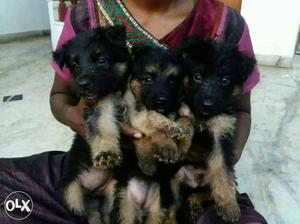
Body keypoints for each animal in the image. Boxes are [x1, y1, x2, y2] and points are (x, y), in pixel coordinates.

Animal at [51, 25, 131, 216]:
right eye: (74, 65)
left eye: (101, 60)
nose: (83, 85)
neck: (114, 89)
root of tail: (94, 191)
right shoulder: (99, 106)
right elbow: (103, 126)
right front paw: (106, 153)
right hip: (71, 192)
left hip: (111, 194)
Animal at [178, 37, 255, 222]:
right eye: (197, 77)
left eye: (225, 80)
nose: (207, 105)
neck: (204, 116)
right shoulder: (183, 108)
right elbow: (186, 118)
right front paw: (182, 132)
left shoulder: (222, 133)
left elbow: (221, 170)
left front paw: (228, 205)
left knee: (207, 192)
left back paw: (195, 205)